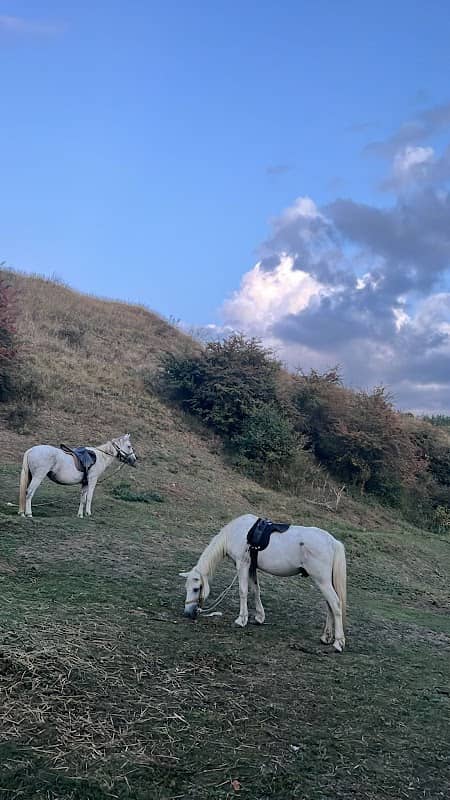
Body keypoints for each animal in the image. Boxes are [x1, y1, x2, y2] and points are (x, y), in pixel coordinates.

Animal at [180, 513, 347, 652]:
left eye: (196, 588)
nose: (188, 613)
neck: (235, 533)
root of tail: (333, 542)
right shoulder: (252, 567)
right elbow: (255, 590)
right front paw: (259, 617)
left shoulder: (242, 565)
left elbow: (243, 591)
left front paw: (241, 619)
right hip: (325, 582)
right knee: (330, 606)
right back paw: (326, 637)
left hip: (322, 581)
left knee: (335, 604)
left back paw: (338, 642)